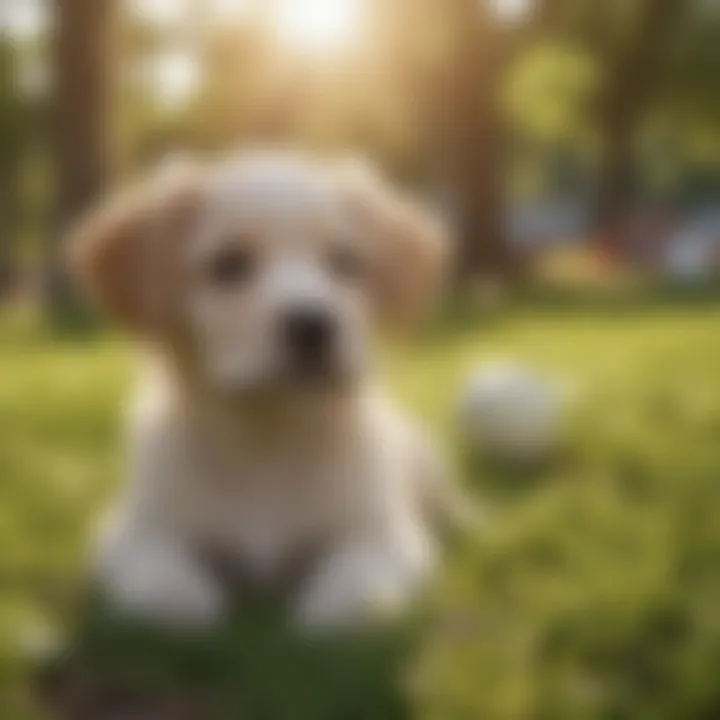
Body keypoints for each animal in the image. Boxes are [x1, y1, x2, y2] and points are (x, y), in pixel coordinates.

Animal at [67, 152, 450, 632]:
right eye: (228, 264)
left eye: (345, 261)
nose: (313, 325)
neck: (268, 438)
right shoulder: (133, 534)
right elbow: (173, 598)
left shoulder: (385, 537)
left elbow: (351, 600)